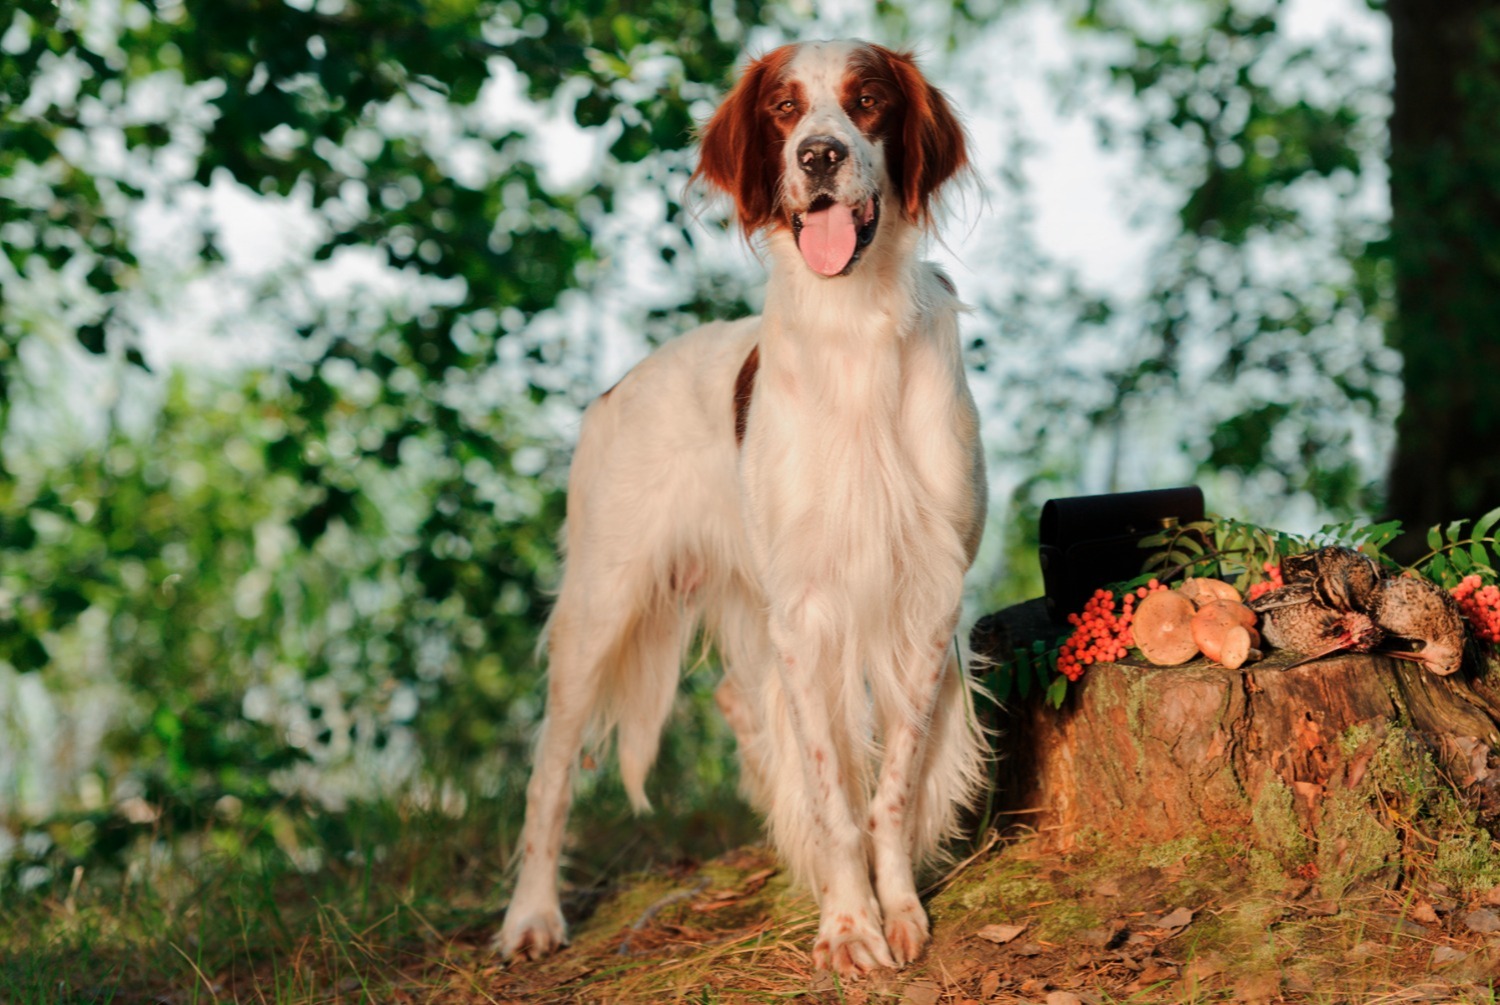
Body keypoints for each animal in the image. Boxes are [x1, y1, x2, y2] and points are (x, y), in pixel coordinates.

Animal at [498, 41, 990, 984]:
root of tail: (614, 387)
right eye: (782, 109)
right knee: (548, 770)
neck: (852, 331)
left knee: (740, 703)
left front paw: (897, 907)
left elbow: (892, 786)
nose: (820, 156)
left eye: (868, 100)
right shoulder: (804, 605)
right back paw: (531, 917)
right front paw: (849, 924)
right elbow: (835, 787)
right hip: (602, 605)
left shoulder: (926, 590)